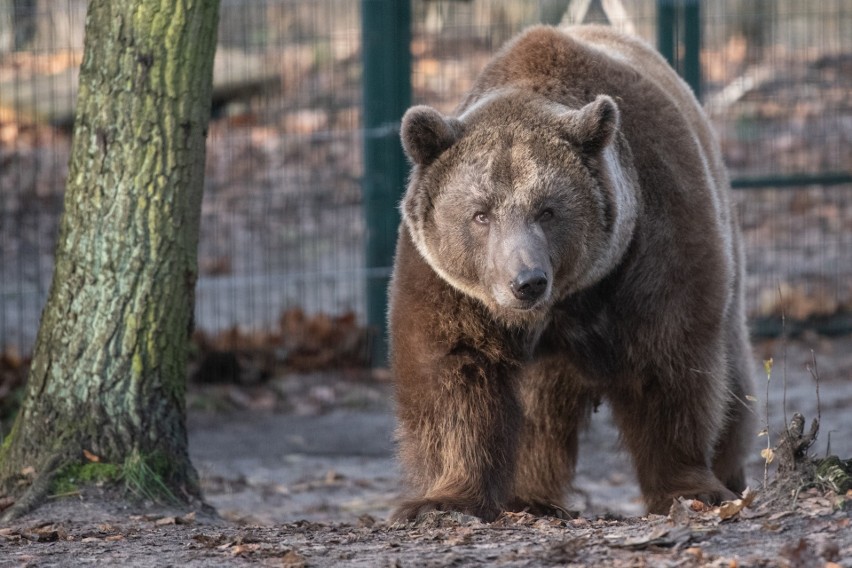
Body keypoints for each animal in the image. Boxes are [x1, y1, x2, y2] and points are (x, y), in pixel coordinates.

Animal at [390, 26, 756, 524]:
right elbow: (456, 369)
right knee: (539, 412)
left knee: (733, 377)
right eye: (480, 214)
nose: (526, 282)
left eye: (547, 210)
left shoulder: (652, 244)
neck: (569, 299)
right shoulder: (449, 283)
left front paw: (690, 487)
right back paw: (530, 496)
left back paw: (730, 472)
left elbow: (669, 361)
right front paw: (443, 499)